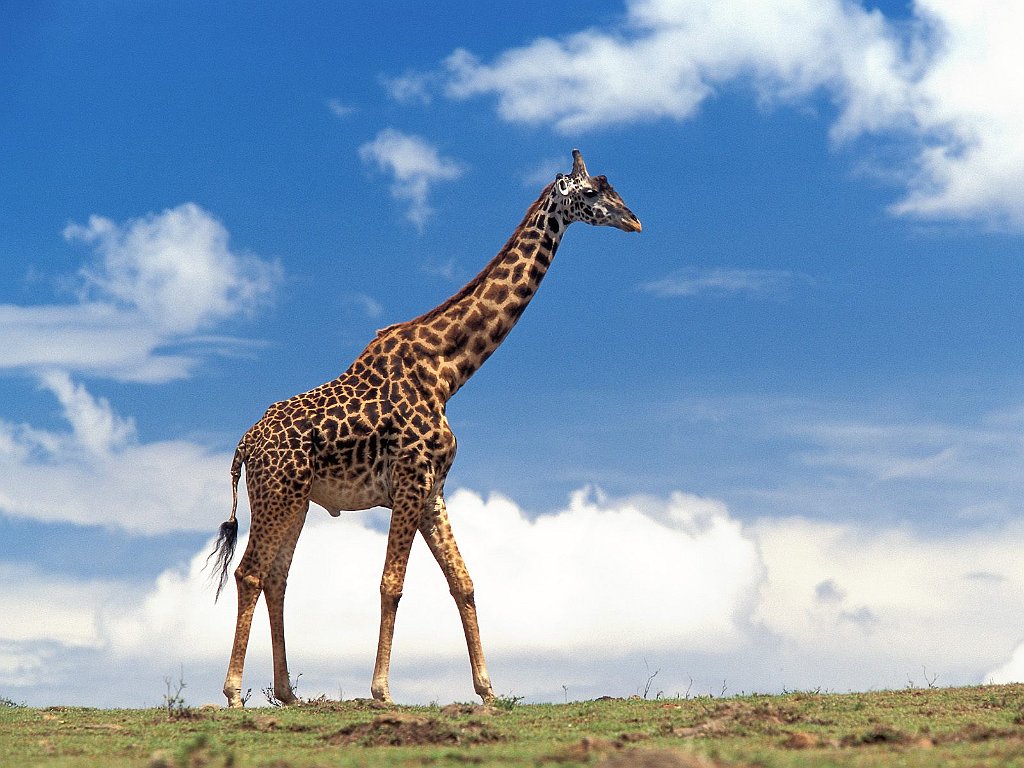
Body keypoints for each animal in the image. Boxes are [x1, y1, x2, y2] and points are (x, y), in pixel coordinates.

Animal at [206, 147, 638, 708]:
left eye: (611, 186)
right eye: (590, 192)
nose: (634, 220)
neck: (450, 371)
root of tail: (242, 446)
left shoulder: (432, 488)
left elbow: (464, 582)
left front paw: (487, 691)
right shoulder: (410, 480)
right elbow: (392, 583)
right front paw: (382, 691)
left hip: (294, 500)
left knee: (277, 577)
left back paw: (287, 693)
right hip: (277, 494)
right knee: (250, 572)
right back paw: (235, 693)